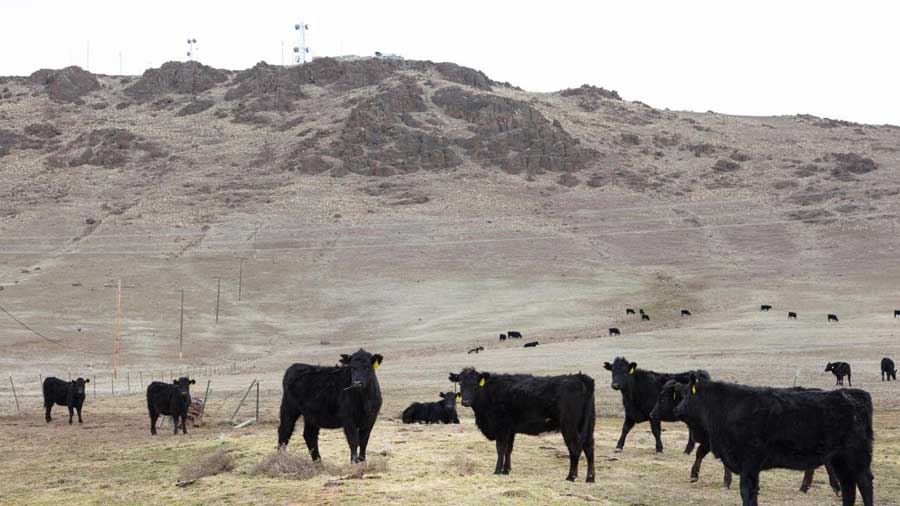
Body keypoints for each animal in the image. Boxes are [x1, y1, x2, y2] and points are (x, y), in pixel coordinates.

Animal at [449, 368, 595, 482]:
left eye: (475, 384)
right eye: (460, 383)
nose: (466, 402)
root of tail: (579, 377)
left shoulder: (501, 428)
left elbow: (500, 449)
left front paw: (497, 470)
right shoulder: (510, 430)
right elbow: (508, 449)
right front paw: (506, 470)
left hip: (569, 427)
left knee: (575, 448)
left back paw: (571, 476)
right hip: (588, 425)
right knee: (589, 447)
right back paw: (590, 478)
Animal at [650, 380, 841, 495]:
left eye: (663, 398)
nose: (652, 414)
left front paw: (725, 481)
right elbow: (700, 453)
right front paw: (695, 475)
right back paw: (809, 487)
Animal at [674, 375, 873, 506]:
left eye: (687, 394)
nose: (677, 410)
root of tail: (852, 394)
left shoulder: (749, 463)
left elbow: (747, 492)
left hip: (857, 457)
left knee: (865, 485)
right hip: (840, 459)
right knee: (848, 487)